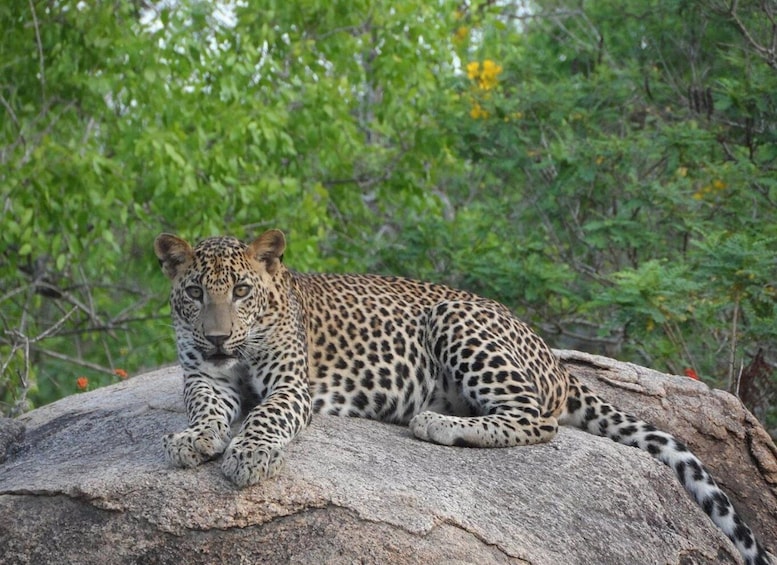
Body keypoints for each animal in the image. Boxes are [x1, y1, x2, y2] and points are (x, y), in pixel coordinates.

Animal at [154, 229, 771, 565]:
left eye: (241, 290)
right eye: (195, 292)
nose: (217, 337)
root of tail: (555, 358)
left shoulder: (291, 383)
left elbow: (267, 415)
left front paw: (250, 455)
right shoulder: (202, 377)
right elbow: (206, 407)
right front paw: (193, 439)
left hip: (457, 321)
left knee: (536, 420)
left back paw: (438, 424)